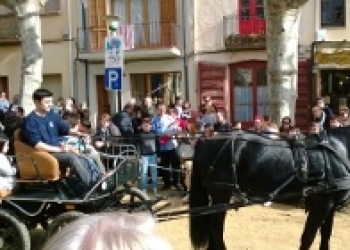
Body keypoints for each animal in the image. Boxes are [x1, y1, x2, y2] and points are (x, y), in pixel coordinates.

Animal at [191, 128, 350, 249]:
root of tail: (206, 140)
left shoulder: (330, 205)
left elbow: (325, 236)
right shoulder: (322, 204)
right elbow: (308, 238)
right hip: (220, 192)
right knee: (215, 227)